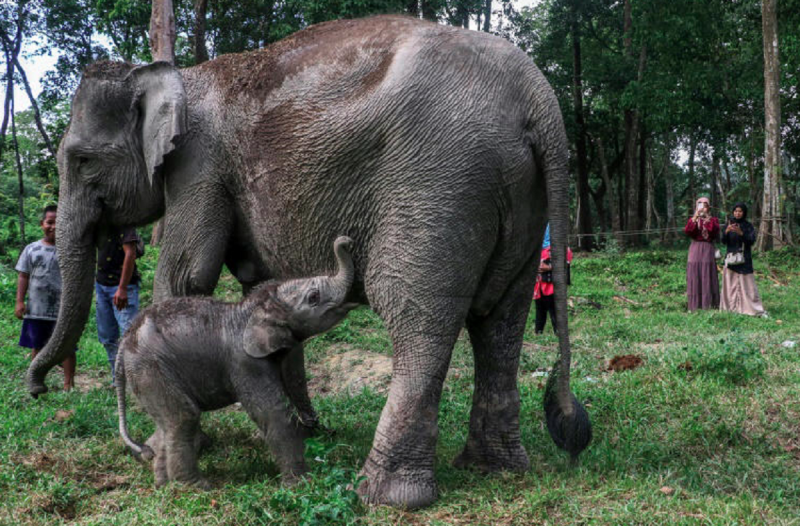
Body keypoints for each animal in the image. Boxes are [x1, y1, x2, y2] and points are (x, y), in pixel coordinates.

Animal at [115, 237, 356, 488]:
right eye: (313, 297)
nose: (346, 241)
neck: (253, 307)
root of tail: (123, 344)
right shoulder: (245, 363)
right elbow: (274, 412)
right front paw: (302, 484)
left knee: (166, 424)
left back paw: (163, 484)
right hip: (151, 370)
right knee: (183, 418)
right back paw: (196, 488)